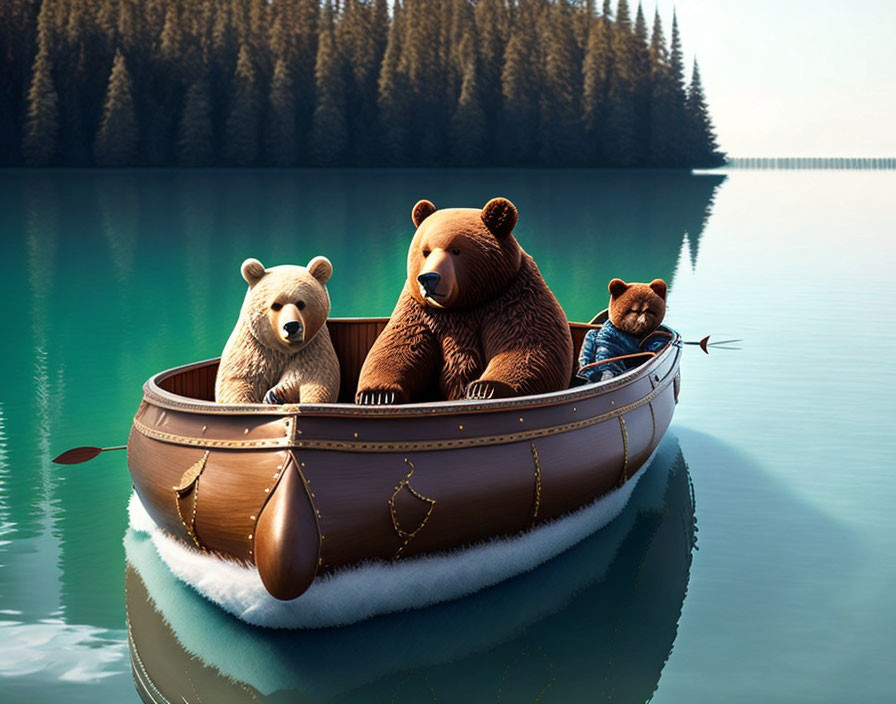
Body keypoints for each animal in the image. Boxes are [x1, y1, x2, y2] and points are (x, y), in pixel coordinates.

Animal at [354, 198, 572, 408]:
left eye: (456, 250)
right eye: (425, 251)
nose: (428, 278)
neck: (462, 306)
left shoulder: (511, 298)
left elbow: (527, 346)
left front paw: (484, 388)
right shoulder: (420, 311)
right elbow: (399, 346)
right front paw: (377, 394)